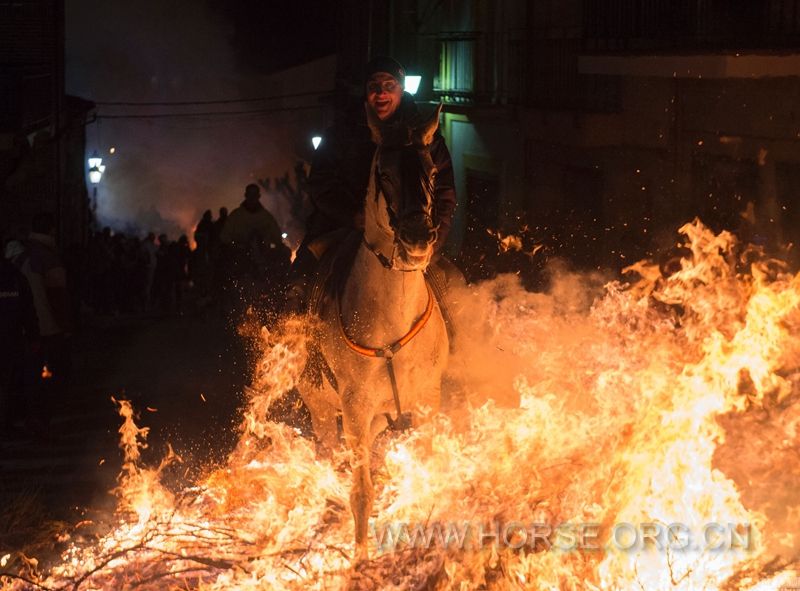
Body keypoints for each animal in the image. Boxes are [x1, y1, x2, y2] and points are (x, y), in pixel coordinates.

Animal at [298, 103, 450, 564]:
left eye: (432, 170)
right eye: (383, 172)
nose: (417, 238)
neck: (390, 319)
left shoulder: (428, 400)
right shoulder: (355, 409)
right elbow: (361, 492)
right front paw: (361, 559)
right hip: (324, 412)